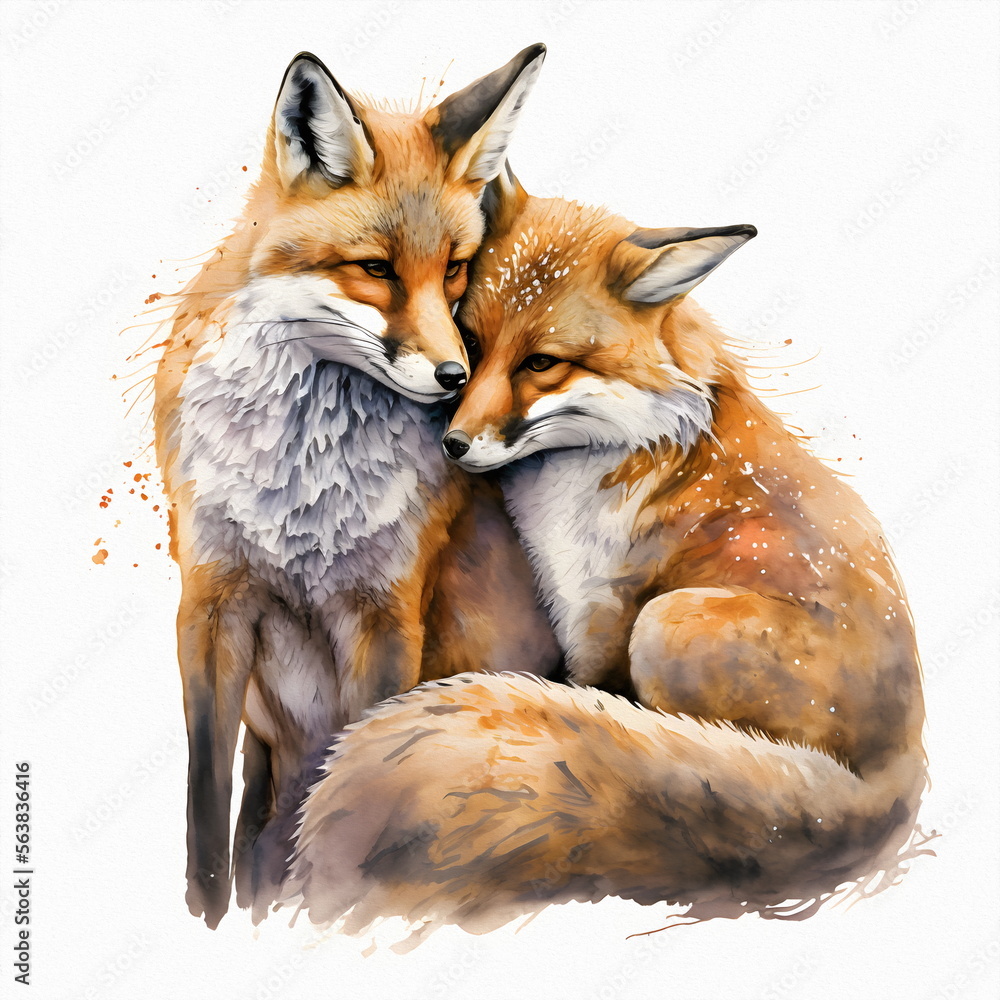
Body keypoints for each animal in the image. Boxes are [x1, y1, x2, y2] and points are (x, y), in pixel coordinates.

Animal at [152, 49, 560, 928]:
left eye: (455, 270)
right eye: (375, 270)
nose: (455, 381)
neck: (301, 493)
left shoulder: (386, 615)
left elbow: (343, 780)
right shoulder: (210, 604)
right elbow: (205, 799)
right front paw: (209, 917)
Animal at [284, 180, 927, 939]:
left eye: (541, 363)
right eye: (472, 342)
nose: (454, 444)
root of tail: (902, 767)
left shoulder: (603, 613)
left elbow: (587, 693)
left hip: (667, 623)